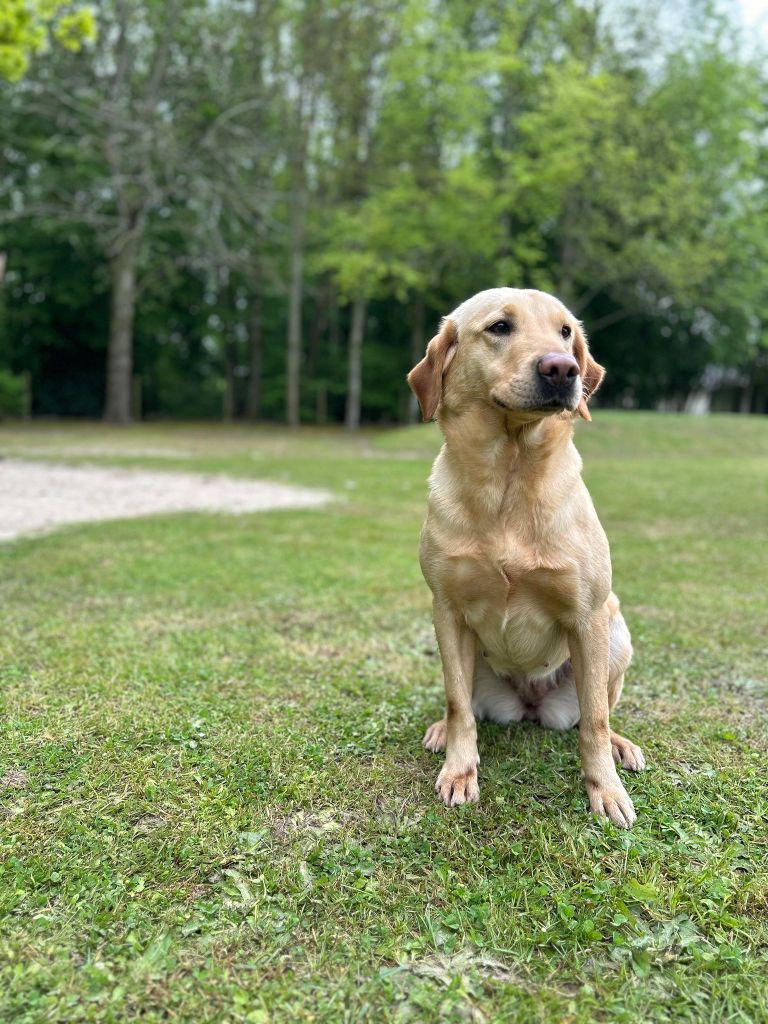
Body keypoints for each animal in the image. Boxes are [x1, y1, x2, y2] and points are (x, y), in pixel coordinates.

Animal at [405, 286, 647, 823]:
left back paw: (621, 745)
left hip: (615, 634)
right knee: (461, 702)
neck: (509, 479)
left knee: (600, 711)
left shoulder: (587, 614)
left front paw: (606, 790)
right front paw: (460, 770)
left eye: (566, 332)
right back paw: (440, 730)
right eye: (499, 327)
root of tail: (532, 707)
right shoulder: (447, 610)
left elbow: (595, 720)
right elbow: (458, 705)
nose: (562, 369)